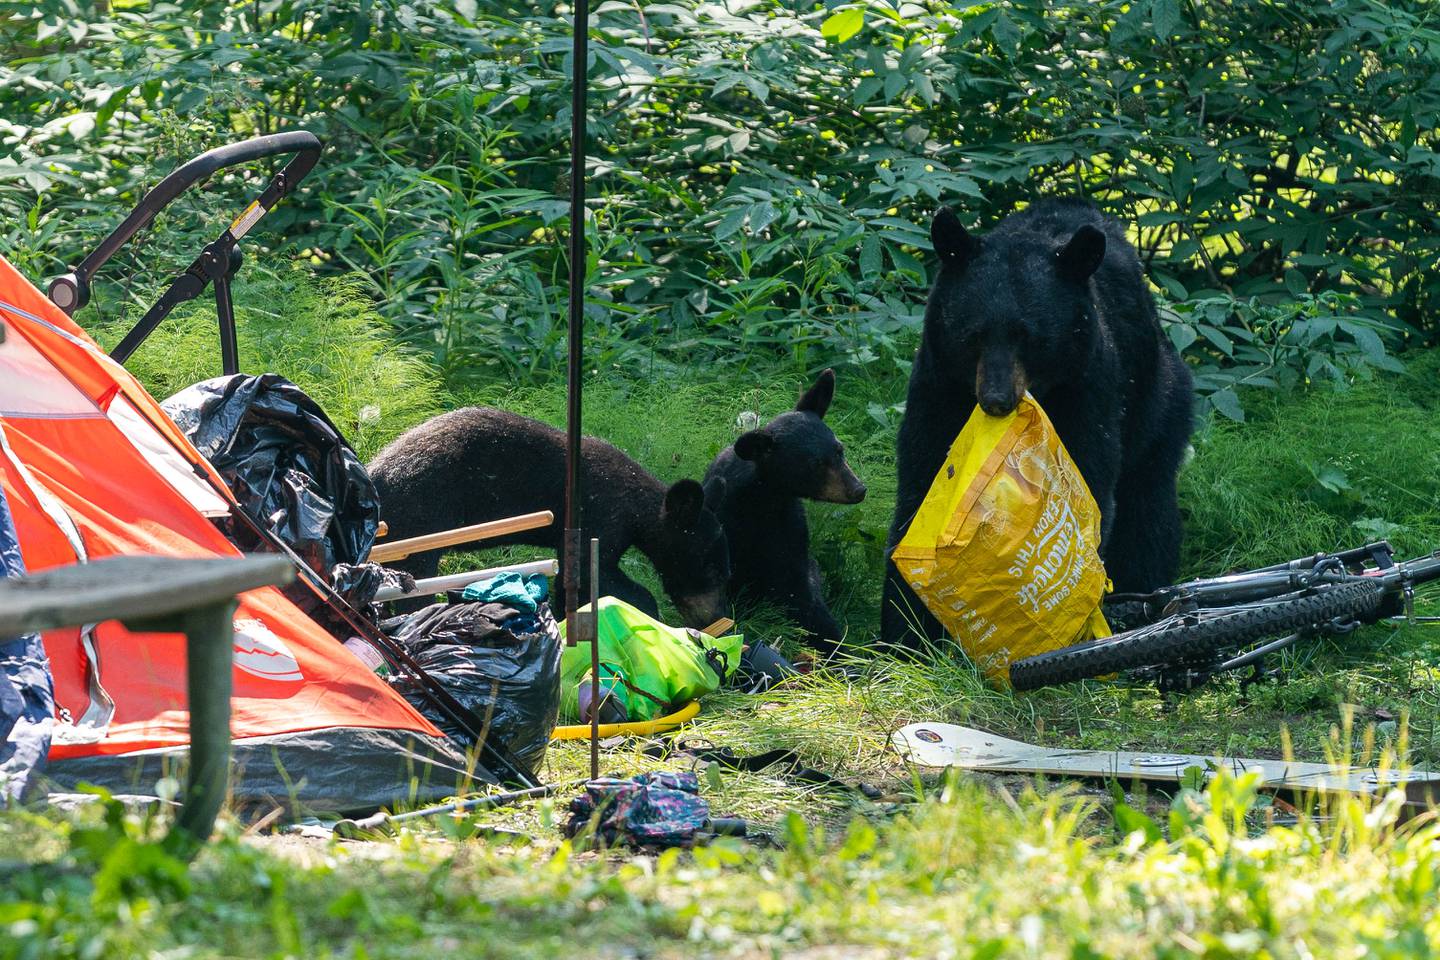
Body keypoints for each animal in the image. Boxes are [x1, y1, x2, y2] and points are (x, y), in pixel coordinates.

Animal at [371, 408, 731, 627]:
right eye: (710, 567)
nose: (720, 616)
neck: (636, 505)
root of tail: (375, 472)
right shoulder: (598, 515)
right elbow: (592, 572)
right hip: (422, 516)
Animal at [699, 371, 858, 650]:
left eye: (840, 450)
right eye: (815, 464)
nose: (859, 490)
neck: (764, 497)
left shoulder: (789, 527)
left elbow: (799, 591)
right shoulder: (728, 520)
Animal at [881, 197, 1198, 644]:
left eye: (1030, 338)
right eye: (973, 335)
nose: (996, 399)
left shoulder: (1087, 386)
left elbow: (1089, 482)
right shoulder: (938, 383)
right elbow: (922, 483)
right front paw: (904, 630)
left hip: (1159, 401)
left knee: (1148, 508)